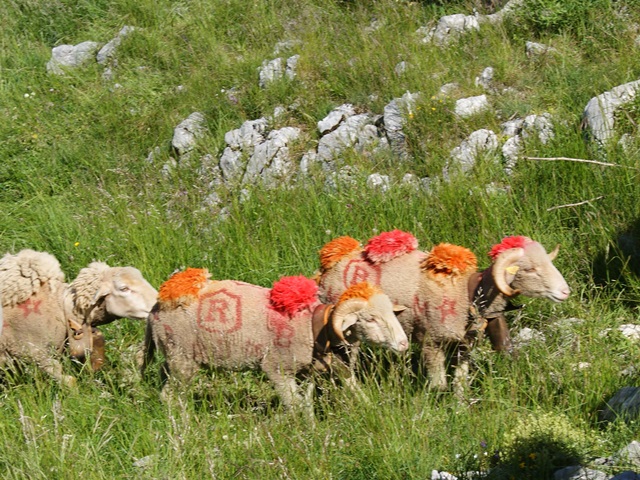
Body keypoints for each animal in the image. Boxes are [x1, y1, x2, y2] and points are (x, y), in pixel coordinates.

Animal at [142, 268, 408, 410]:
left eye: (391, 313)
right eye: (370, 319)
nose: (404, 344)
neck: (312, 326)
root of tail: (156, 306)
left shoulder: (308, 371)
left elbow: (313, 401)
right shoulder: (277, 368)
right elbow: (294, 405)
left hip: (172, 355)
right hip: (182, 357)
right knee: (169, 396)